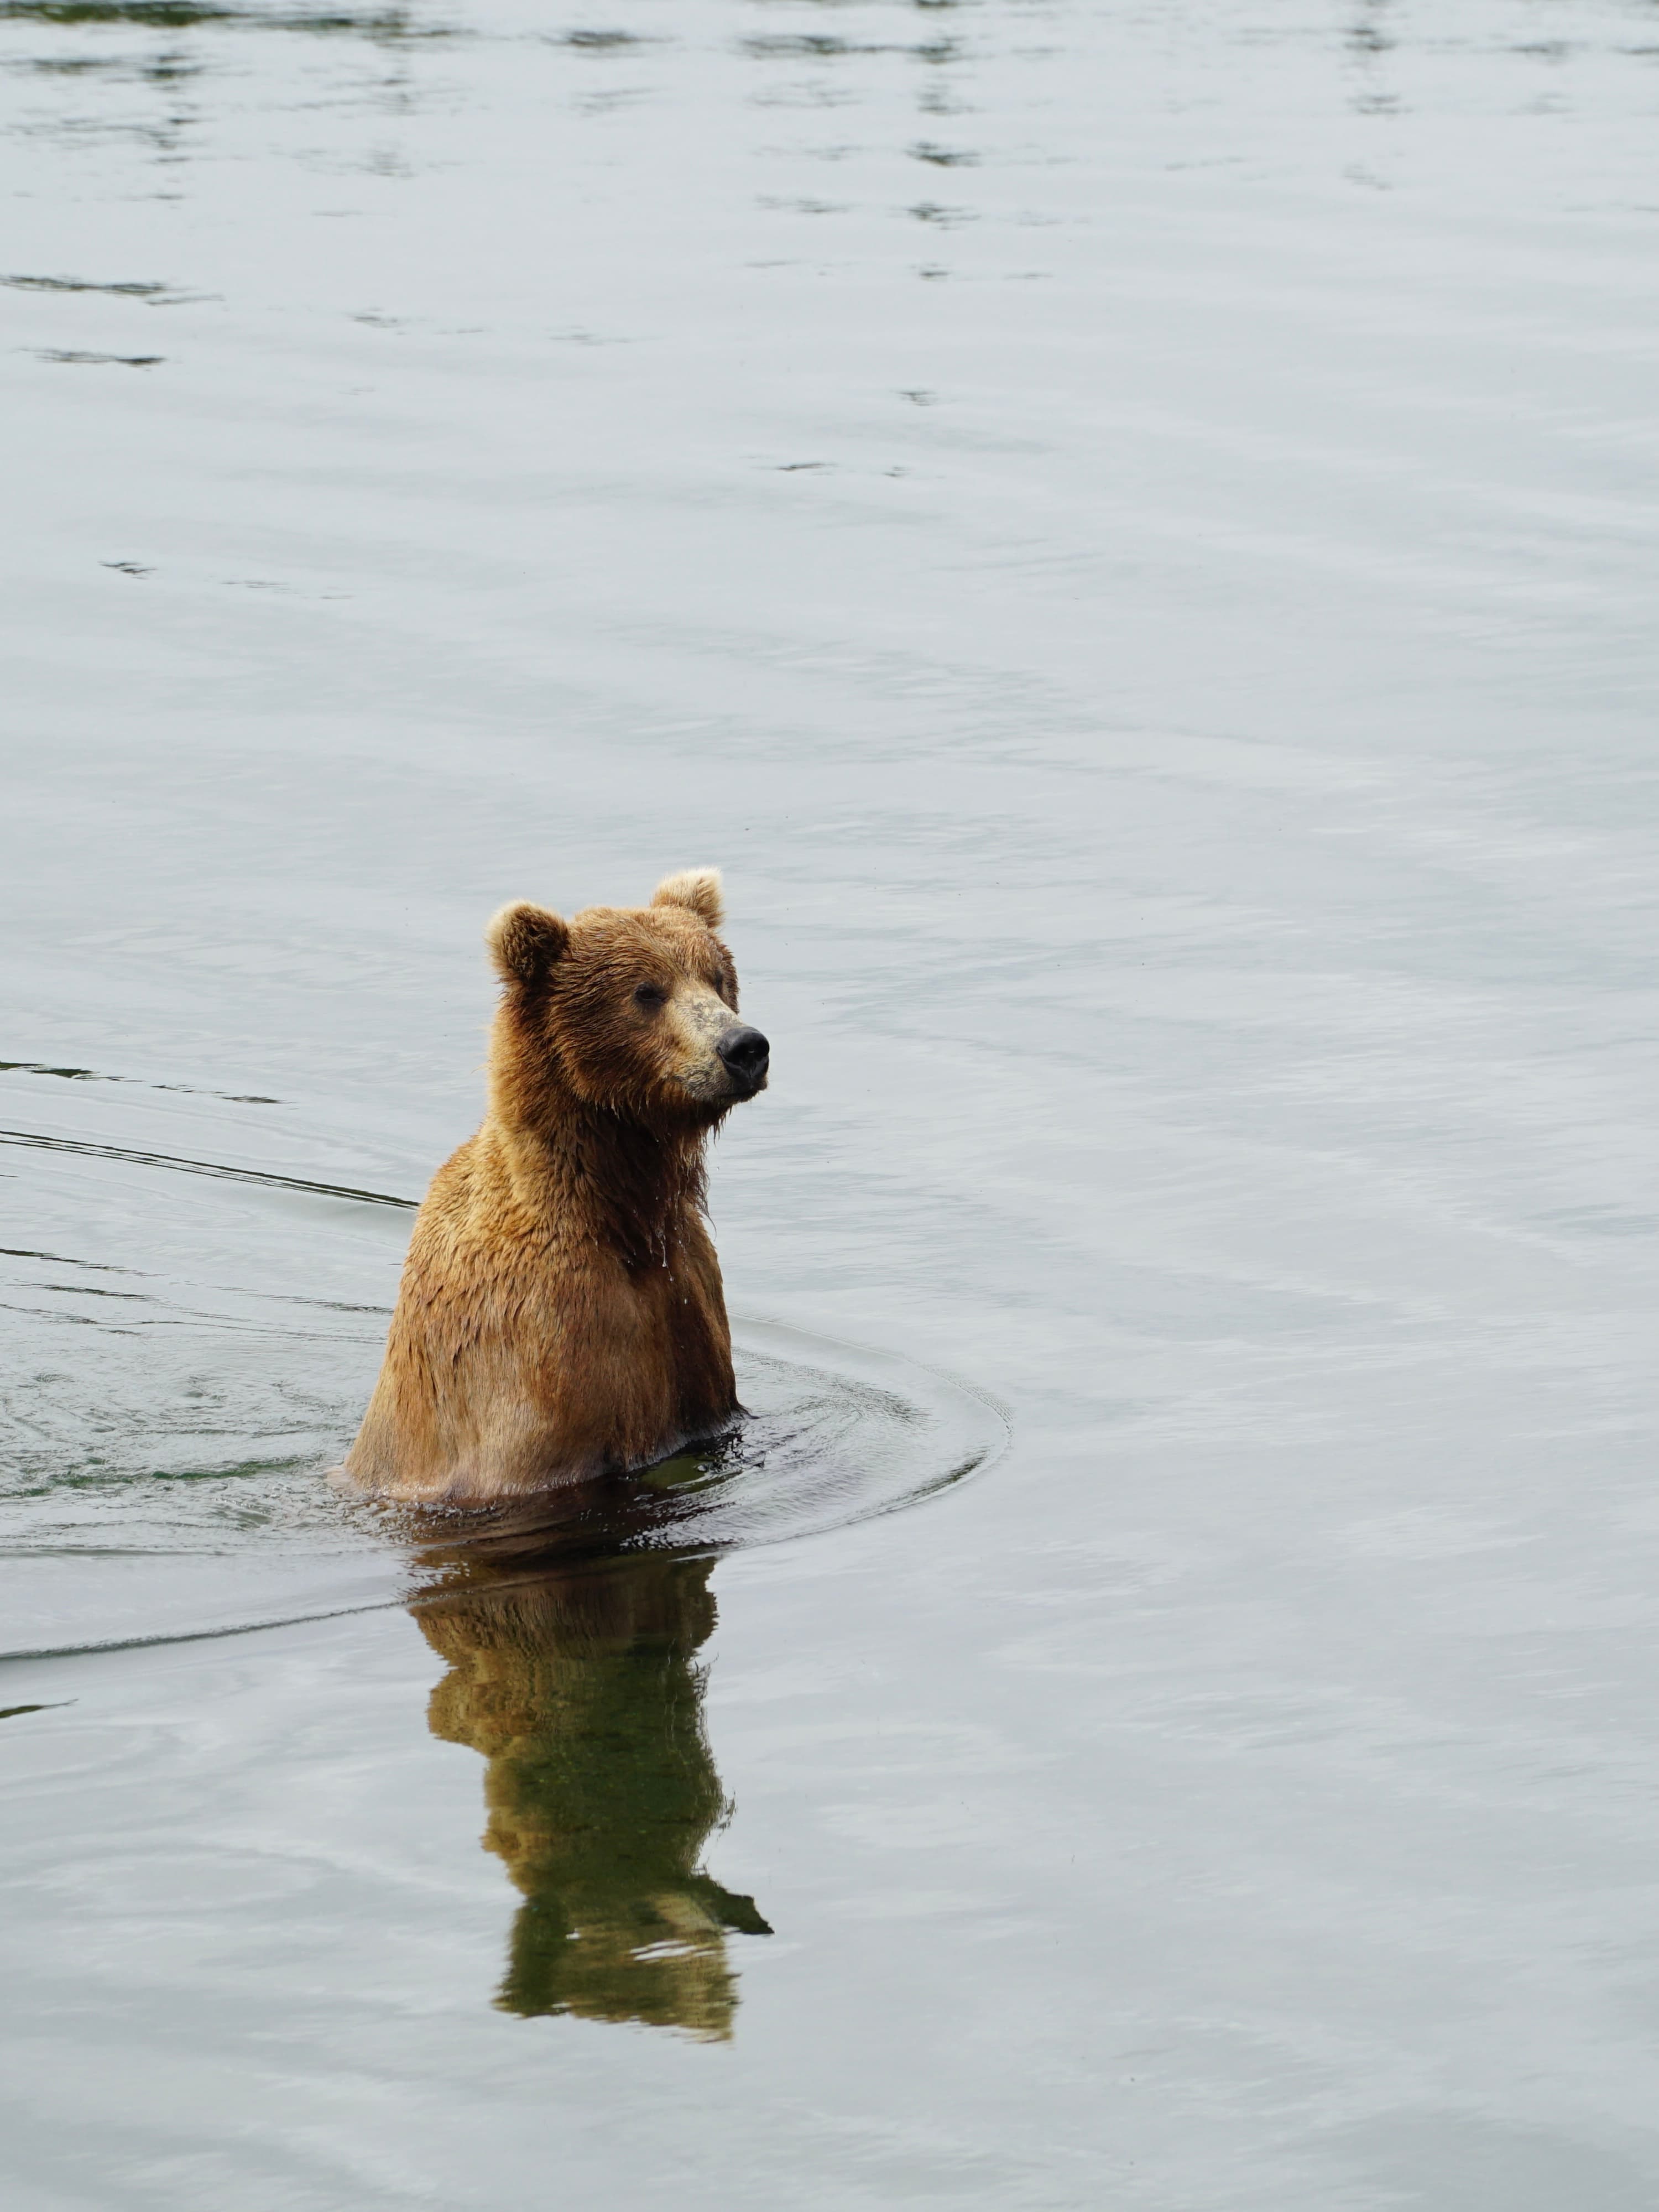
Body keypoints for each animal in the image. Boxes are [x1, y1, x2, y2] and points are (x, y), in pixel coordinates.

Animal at [341, 868, 768, 1503]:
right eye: (647, 991)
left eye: (718, 977)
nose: (744, 1048)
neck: (622, 1211)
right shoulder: (547, 1338)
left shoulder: (690, 1298)